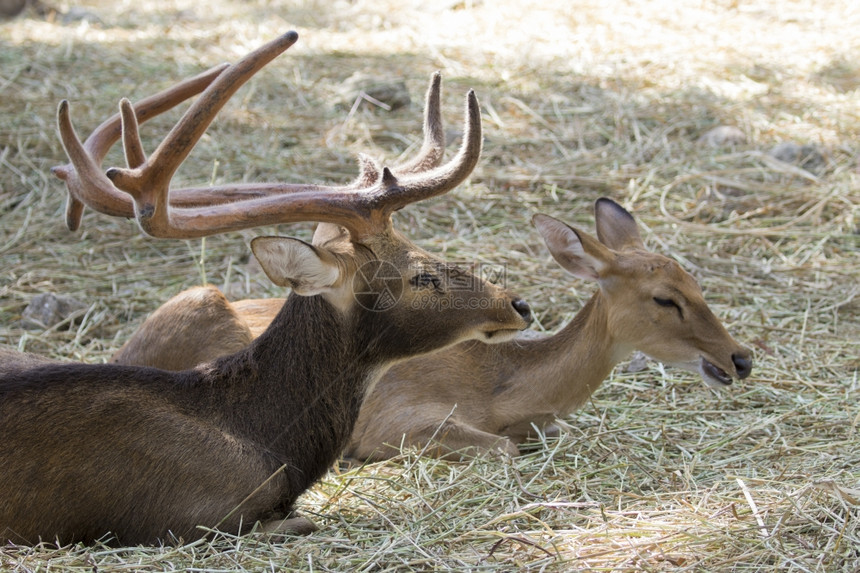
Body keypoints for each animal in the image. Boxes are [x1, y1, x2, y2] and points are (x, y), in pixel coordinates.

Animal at [107, 199, 752, 458]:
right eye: (665, 298)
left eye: (695, 280)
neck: (501, 391)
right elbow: (501, 450)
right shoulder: (400, 417)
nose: (740, 358)